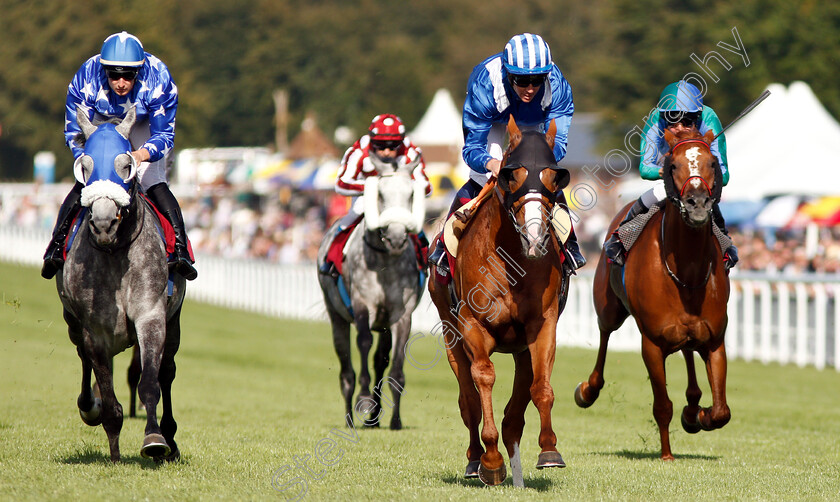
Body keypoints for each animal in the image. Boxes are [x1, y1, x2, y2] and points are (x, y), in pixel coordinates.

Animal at [56, 107, 187, 462]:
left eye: (126, 165)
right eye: (85, 167)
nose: (103, 223)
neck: (115, 253)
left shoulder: (151, 316)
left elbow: (150, 381)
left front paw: (155, 439)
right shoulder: (93, 329)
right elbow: (104, 382)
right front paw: (114, 448)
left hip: (174, 320)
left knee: (167, 371)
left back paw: (170, 438)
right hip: (72, 322)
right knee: (83, 359)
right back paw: (89, 406)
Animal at [318, 156, 430, 428]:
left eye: (412, 194)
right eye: (379, 193)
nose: (397, 237)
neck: (385, 262)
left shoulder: (401, 314)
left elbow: (395, 365)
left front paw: (396, 420)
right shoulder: (362, 304)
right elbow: (363, 341)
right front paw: (364, 399)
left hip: (384, 324)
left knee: (381, 360)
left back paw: (375, 418)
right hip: (336, 315)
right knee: (346, 367)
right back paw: (351, 416)